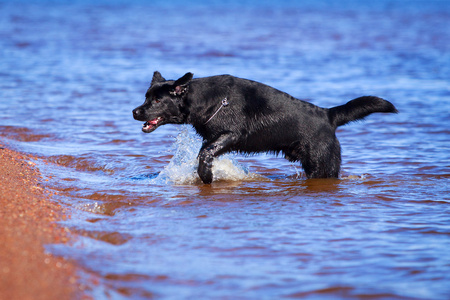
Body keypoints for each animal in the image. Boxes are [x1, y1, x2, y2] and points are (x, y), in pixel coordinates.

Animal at [132, 72, 396, 184]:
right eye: (146, 97)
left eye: (157, 100)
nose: (135, 111)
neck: (209, 100)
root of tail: (328, 115)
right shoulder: (214, 137)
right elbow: (204, 151)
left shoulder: (231, 134)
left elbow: (205, 153)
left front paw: (206, 176)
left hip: (321, 165)